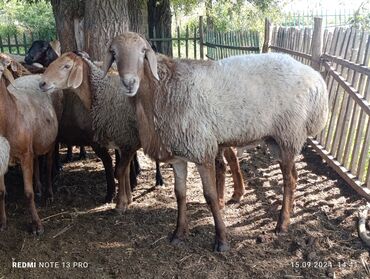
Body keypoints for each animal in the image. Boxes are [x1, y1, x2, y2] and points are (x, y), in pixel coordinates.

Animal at [104, 31, 330, 253]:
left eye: (143, 52)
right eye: (114, 53)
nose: (129, 83)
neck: (162, 90)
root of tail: (316, 78)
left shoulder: (201, 149)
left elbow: (211, 195)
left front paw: (221, 240)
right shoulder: (178, 155)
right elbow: (180, 194)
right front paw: (178, 233)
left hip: (289, 133)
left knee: (289, 180)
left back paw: (281, 225)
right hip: (277, 140)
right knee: (293, 175)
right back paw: (288, 215)